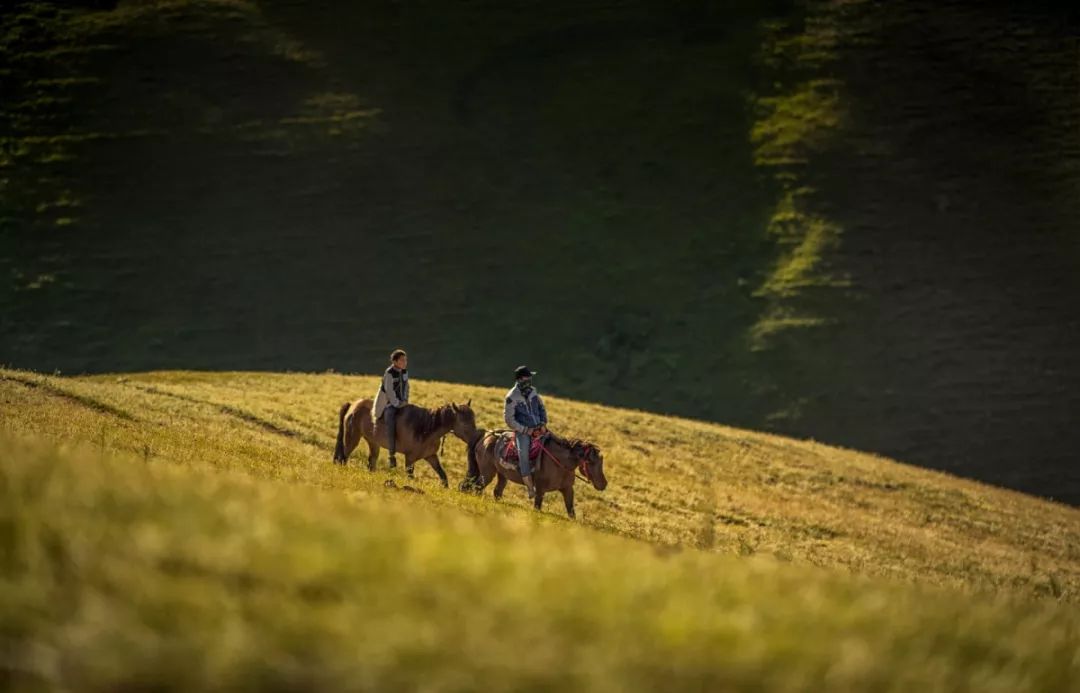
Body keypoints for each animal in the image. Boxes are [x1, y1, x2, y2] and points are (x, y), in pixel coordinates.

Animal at [332, 392, 477, 485]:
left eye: (473, 419)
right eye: (464, 423)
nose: (475, 439)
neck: (426, 428)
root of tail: (353, 405)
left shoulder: (431, 456)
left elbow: (443, 476)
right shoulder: (410, 458)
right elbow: (410, 476)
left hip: (373, 443)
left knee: (371, 463)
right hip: (352, 438)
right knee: (343, 458)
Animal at [457, 429, 604, 515]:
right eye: (592, 462)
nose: (604, 484)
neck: (560, 463)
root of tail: (486, 436)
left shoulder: (568, 489)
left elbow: (571, 511)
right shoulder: (540, 489)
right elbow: (537, 507)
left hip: (502, 475)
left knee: (496, 491)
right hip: (487, 473)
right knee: (477, 487)